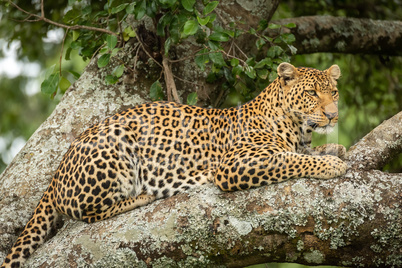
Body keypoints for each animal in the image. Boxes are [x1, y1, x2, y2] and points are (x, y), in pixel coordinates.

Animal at [0, 62, 348, 268]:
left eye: (334, 92)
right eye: (311, 93)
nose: (333, 116)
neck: (298, 128)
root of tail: (56, 172)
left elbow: (303, 152)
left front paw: (335, 147)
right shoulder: (235, 164)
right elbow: (288, 159)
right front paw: (330, 164)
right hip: (116, 145)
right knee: (88, 211)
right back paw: (141, 196)